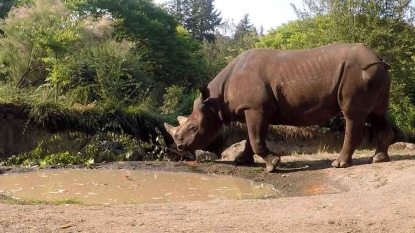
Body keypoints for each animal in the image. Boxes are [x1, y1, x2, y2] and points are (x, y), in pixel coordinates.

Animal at [164, 43, 394, 173]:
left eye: (193, 129)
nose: (179, 148)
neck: (215, 99)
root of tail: (378, 58)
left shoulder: (256, 108)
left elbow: (255, 139)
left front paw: (273, 165)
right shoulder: (255, 109)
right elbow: (250, 137)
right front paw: (242, 162)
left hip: (357, 72)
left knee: (353, 115)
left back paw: (339, 165)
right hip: (373, 73)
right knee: (376, 114)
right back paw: (378, 159)